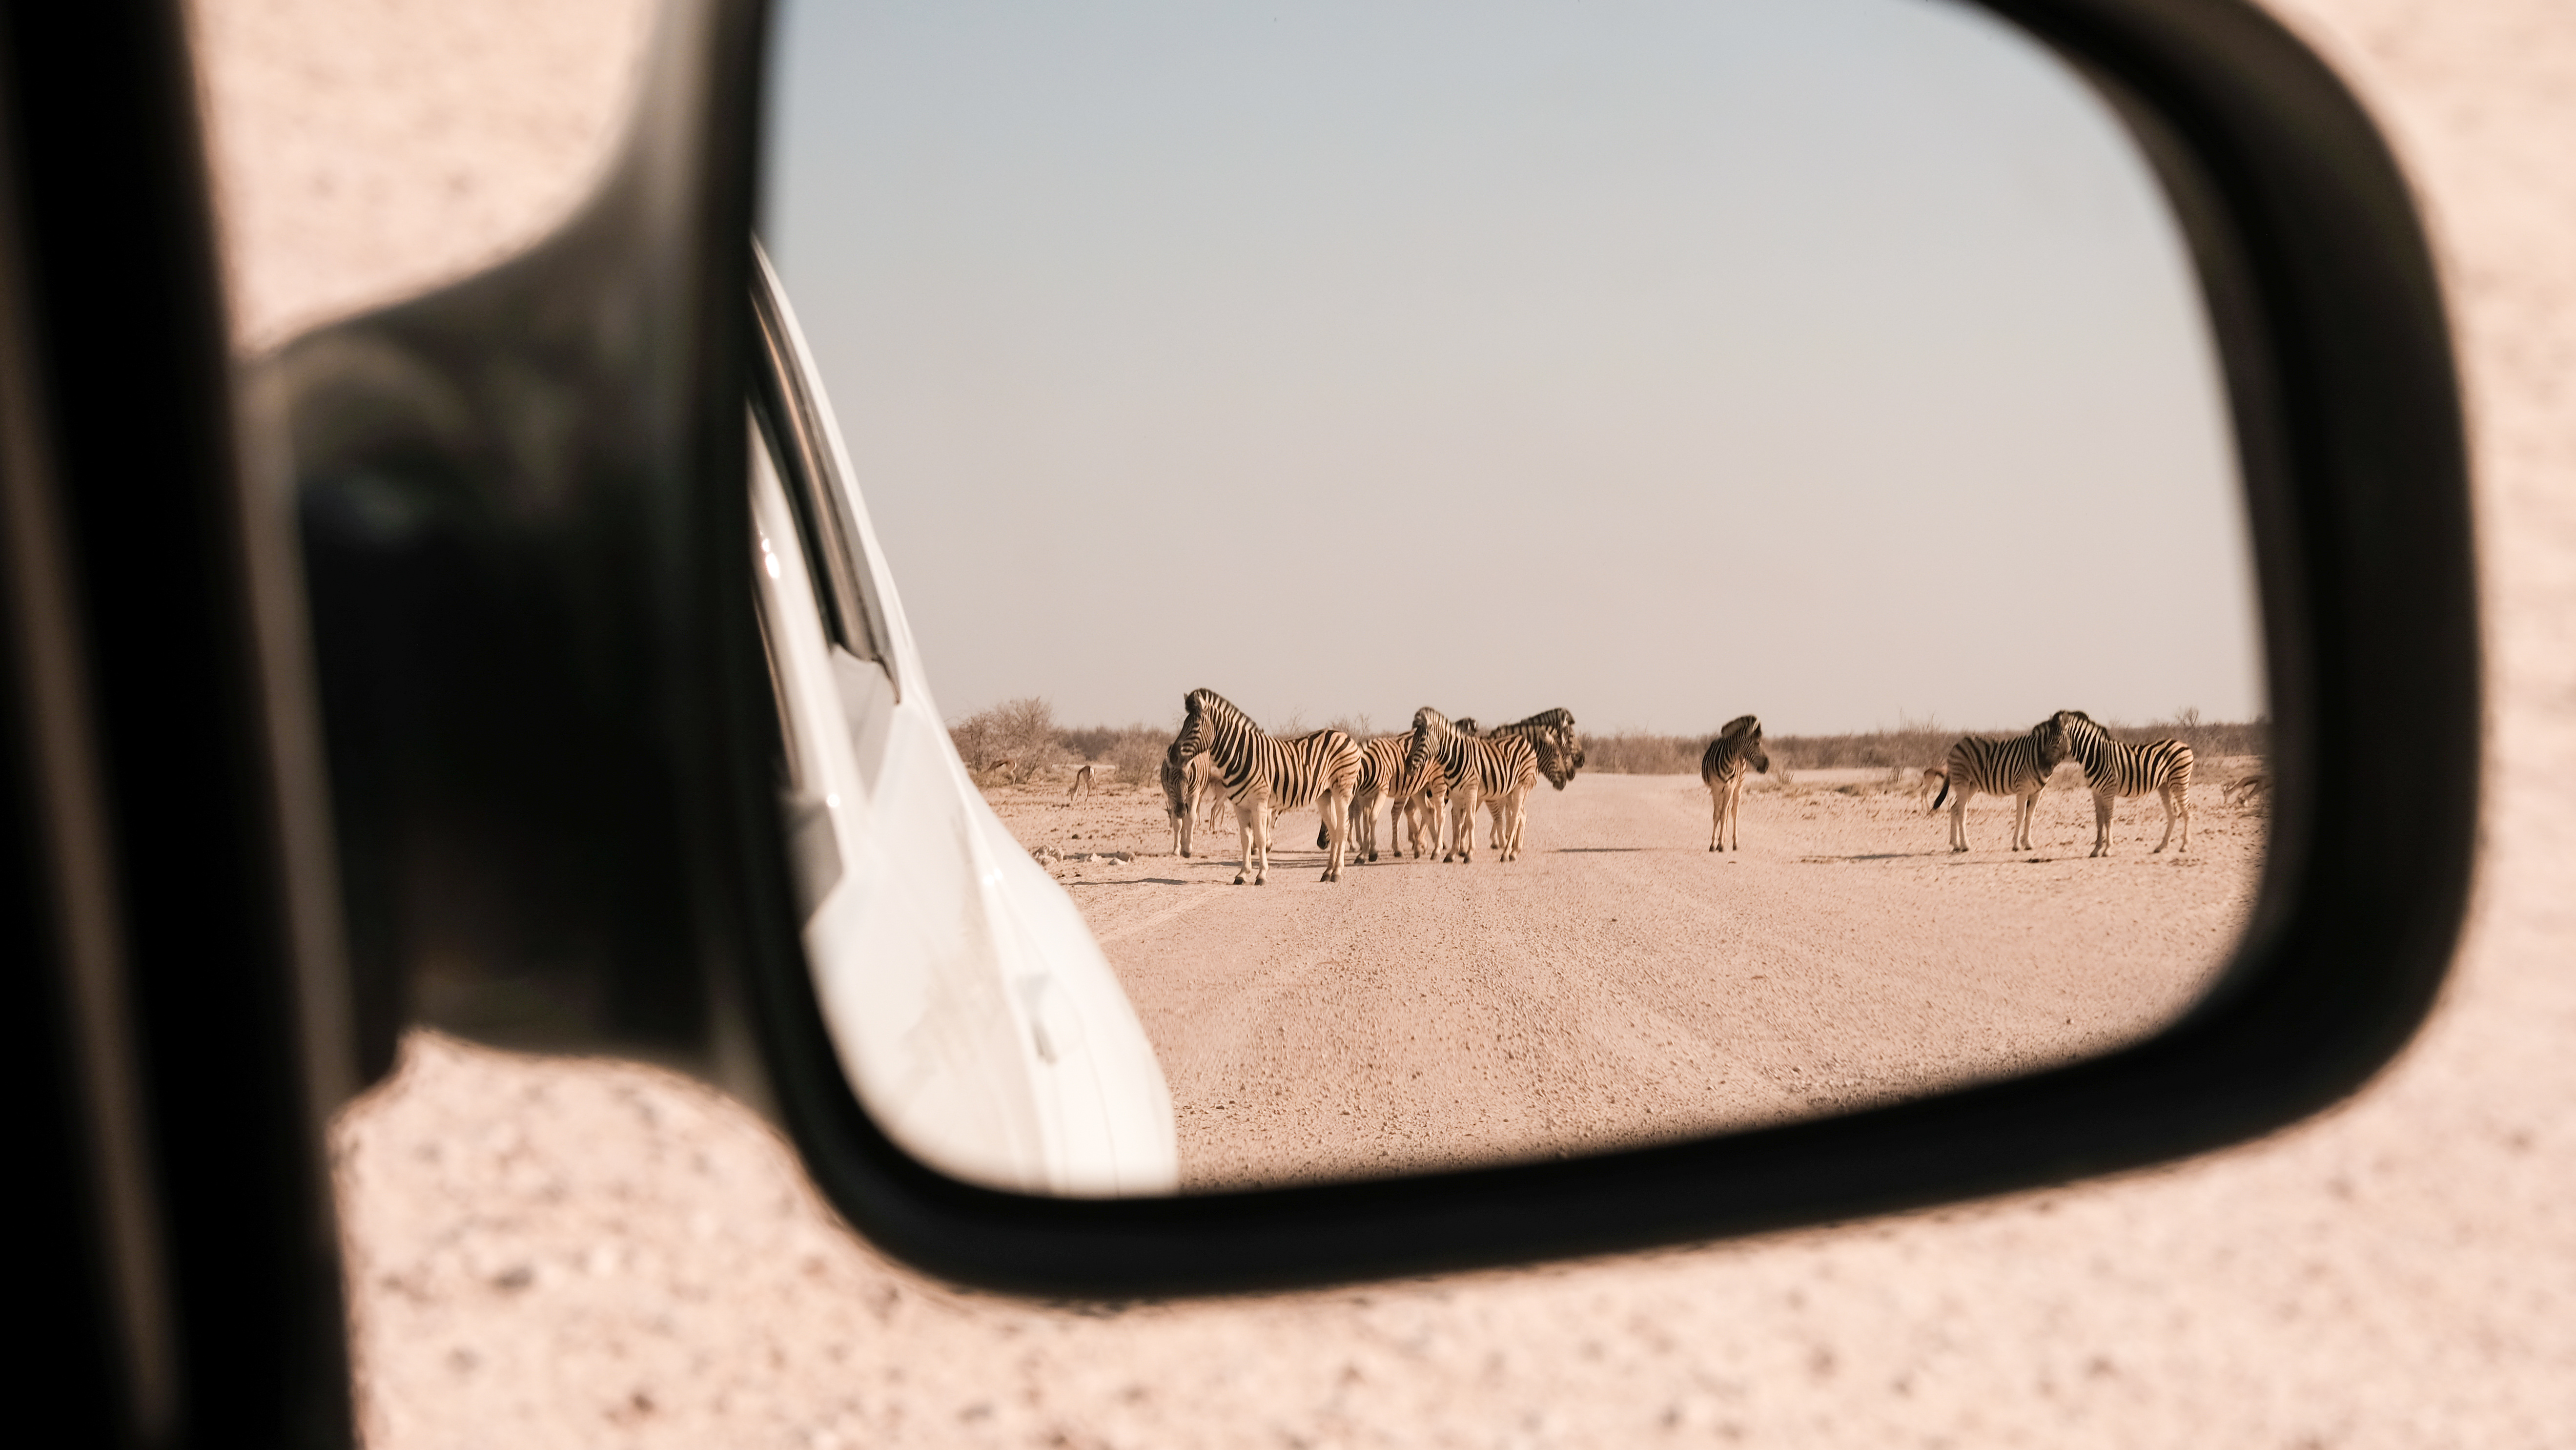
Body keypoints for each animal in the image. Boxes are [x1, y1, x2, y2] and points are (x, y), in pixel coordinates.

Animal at [1170, 688, 1362, 883]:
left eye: (1195, 726)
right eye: (1184, 724)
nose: (1172, 757)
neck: (1240, 756)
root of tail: (1345, 736)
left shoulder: (1260, 803)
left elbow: (1261, 838)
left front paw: (1261, 874)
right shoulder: (1239, 806)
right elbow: (1245, 839)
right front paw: (1242, 873)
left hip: (1343, 791)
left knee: (1343, 828)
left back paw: (1337, 872)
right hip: (1325, 795)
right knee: (1334, 829)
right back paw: (1328, 872)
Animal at [1405, 706, 1538, 863]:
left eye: (1422, 739)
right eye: (1413, 739)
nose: (1407, 766)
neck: (1455, 758)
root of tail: (1524, 741)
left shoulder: (1471, 792)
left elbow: (1470, 820)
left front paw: (1469, 854)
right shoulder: (1456, 795)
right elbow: (1457, 822)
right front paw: (1452, 853)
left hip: (1521, 788)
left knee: (1515, 817)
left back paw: (1506, 854)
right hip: (1509, 792)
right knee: (1522, 815)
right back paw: (1514, 852)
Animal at [1701, 715, 1770, 851]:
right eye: (1757, 743)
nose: (1767, 766)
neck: (1729, 763)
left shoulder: (1730, 788)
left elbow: (1724, 815)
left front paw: (1721, 844)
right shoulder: (1716, 788)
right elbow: (1717, 815)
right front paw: (1713, 844)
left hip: (1739, 786)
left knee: (1733, 812)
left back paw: (1734, 843)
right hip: (1723, 790)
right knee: (1724, 811)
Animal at [1927, 714, 2071, 853]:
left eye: (2058, 740)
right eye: (2048, 740)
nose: (2044, 767)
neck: (2035, 755)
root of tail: (1957, 744)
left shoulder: (2037, 792)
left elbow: (2030, 817)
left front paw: (2028, 844)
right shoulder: (2023, 789)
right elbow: (2021, 816)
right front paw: (2016, 845)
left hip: (1972, 785)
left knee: (1954, 809)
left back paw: (1956, 845)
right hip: (1962, 781)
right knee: (1962, 811)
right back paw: (1966, 845)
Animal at [2053, 709, 2194, 855]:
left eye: (2055, 739)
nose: (2048, 762)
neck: (2096, 755)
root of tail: (2184, 745)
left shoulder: (2108, 791)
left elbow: (2108, 819)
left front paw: (2108, 849)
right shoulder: (2095, 792)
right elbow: (2099, 820)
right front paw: (2096, 849)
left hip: (2180, 781)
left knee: (2187, 812)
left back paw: (2185, 846)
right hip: (2164, 785)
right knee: (2172, 814)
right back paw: (2162, 846)